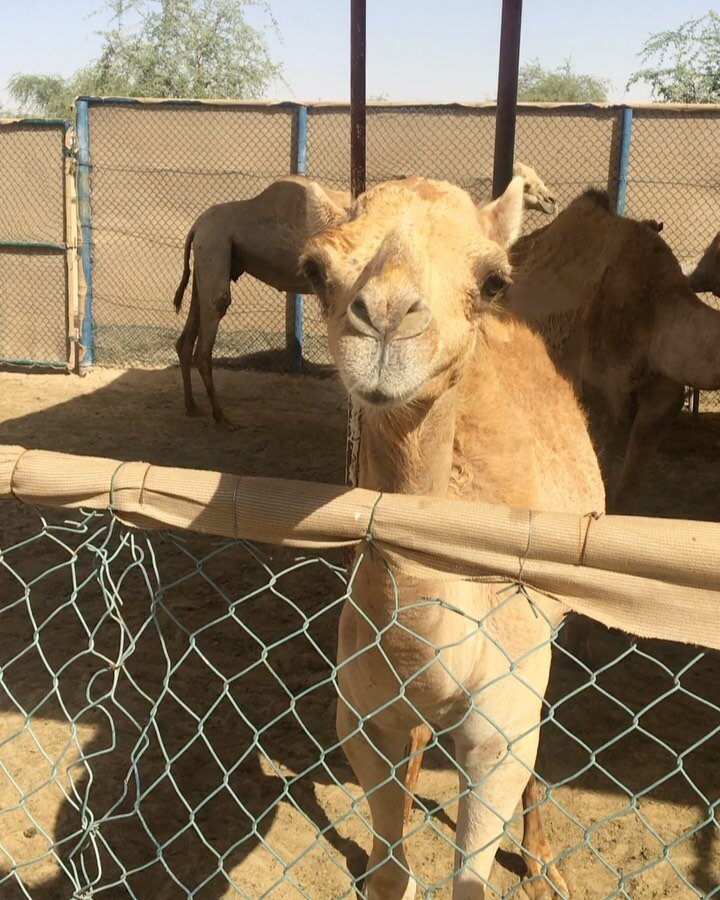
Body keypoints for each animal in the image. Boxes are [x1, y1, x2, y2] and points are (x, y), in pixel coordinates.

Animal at [300, 176, 604, 900]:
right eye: (314, 270)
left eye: (493, 279)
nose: (385, 319)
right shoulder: (361, 718)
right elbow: (389, 871)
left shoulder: (499, 728)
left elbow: (473, 874)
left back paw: (542, 863)